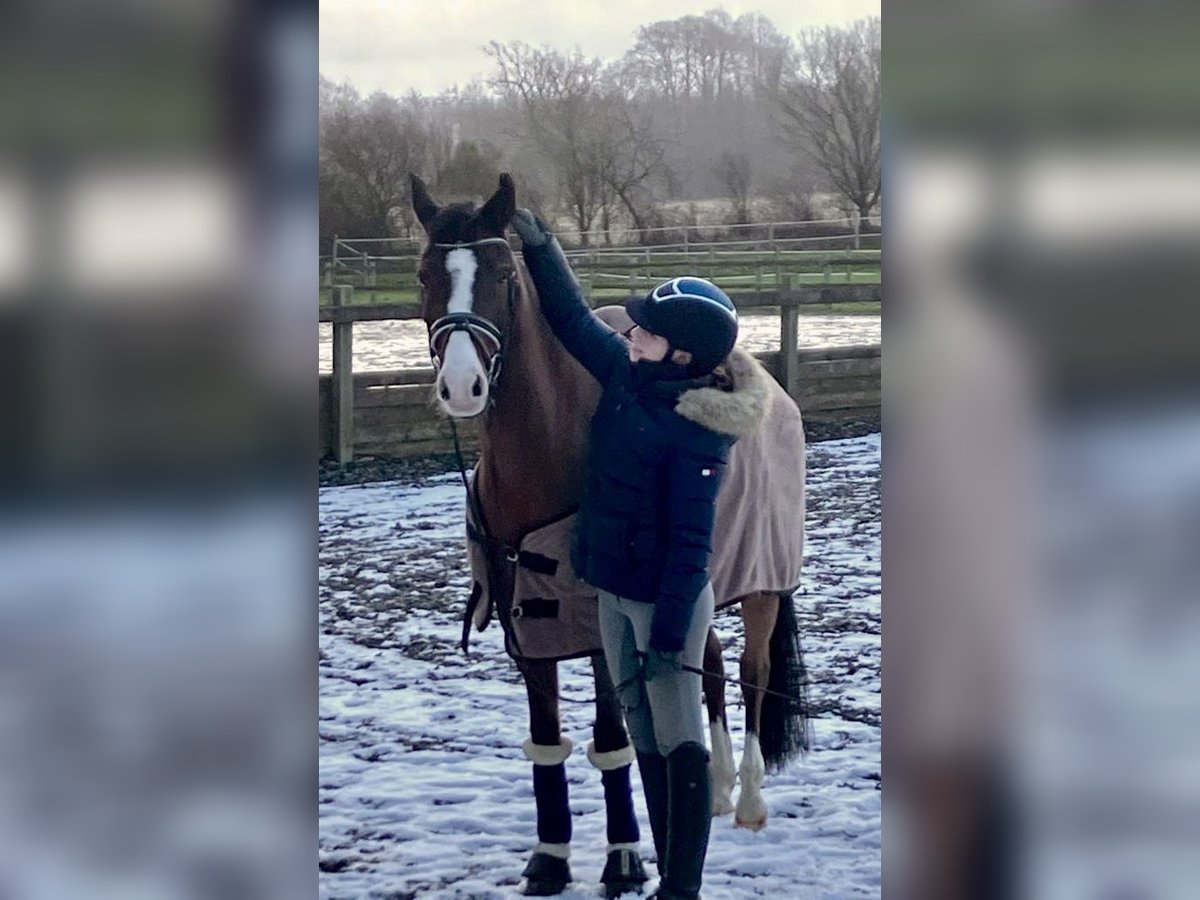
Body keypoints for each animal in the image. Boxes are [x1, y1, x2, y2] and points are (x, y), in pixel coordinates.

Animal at [408, 172, 811, 897]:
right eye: (425, 274)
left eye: (503, 275)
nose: (462, 386)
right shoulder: (527, 628)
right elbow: (547, 735)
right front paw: (550, 857)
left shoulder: (599, 627)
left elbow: (611, 738)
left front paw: (622, 856)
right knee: (708, 669)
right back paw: (712, 789)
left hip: (762, 586)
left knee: (751, 673)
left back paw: (747, 800)